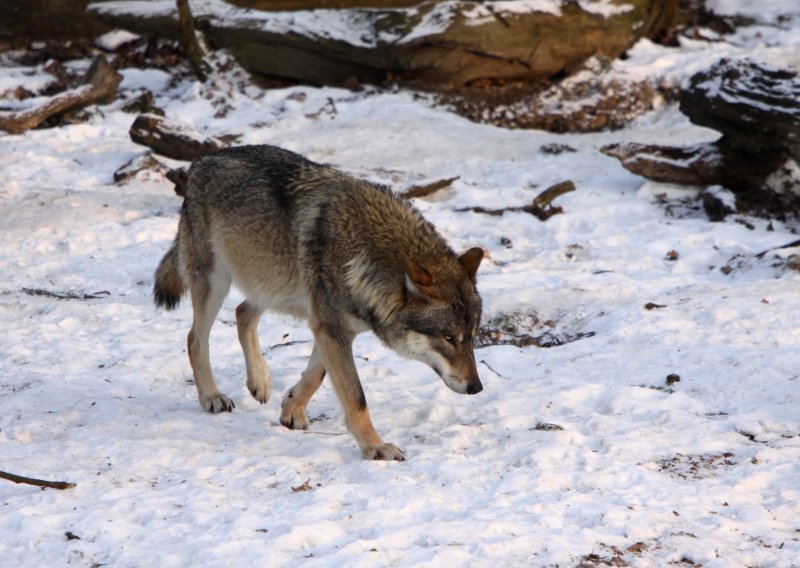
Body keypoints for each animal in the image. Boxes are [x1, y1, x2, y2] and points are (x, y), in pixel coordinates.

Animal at [153, 144, 484, 460]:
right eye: (449, 338)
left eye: (471, 338)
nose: (476, 388)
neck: (365, 257)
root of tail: (202, 161)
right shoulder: (331, 327)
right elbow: (356, 396)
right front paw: (376, 448)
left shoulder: (328, 327)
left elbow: (317, 374)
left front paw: (291, 410)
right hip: (217, 281)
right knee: (196, 338)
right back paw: (212, 396)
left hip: (269, 280)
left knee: (242, 312)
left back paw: (260, 382)